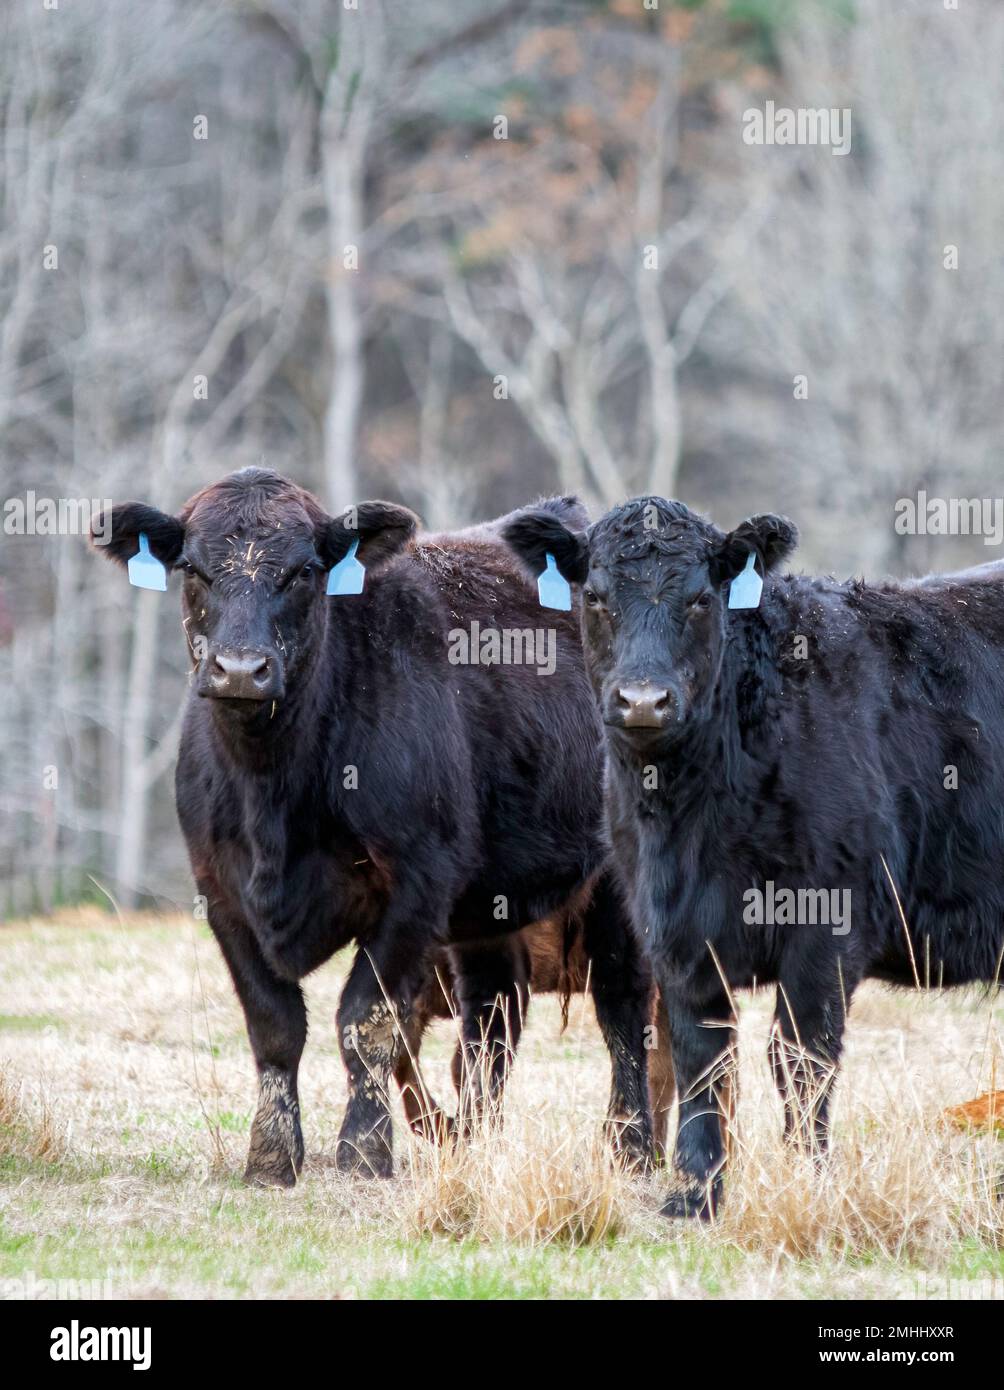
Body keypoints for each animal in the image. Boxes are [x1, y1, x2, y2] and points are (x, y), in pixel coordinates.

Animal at [92, 468, 660, 1186]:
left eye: (304, 571)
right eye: (193, 568)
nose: (241, 669)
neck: (272, 789)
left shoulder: (416, 885)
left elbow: (366, 1020)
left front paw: (364, 1150)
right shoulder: (220, 892)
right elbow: (274, 1025)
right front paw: (271, 1155)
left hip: (615, 884)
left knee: (622, 1009)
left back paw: (633, 1149)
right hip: (489, 910)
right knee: (493, 1017)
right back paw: (475, 1145)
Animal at [502, 495, 1004, 1218]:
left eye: (700, 599)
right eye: (595, 596)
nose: (643, 700)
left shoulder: (828, 925)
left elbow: (801, 1058)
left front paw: (808, 1185)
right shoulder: (674, 931)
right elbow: (700, 1054)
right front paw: (694, 1192)